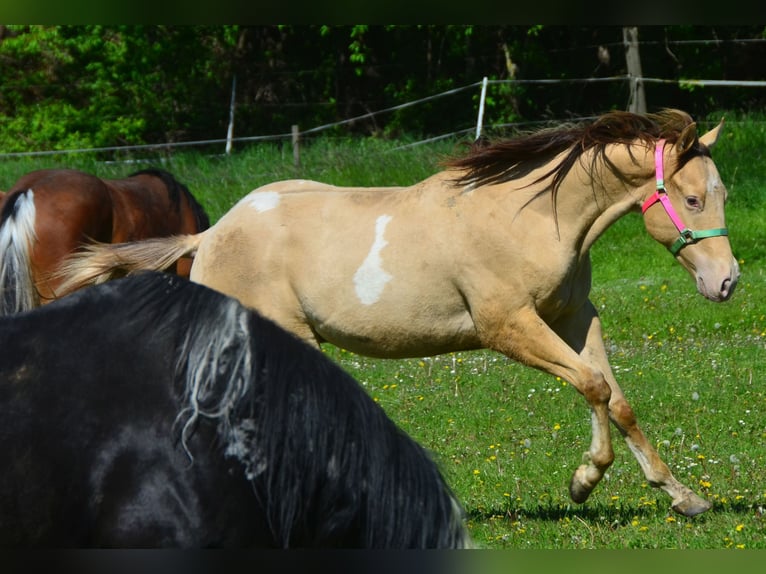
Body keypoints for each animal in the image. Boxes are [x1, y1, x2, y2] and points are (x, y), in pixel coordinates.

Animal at [55, 110, 744, 520]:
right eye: (691, 198)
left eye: (721, 193)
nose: (728, 281)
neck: (530, 218)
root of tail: (210, 236)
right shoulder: (508, 327)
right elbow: (594, 385)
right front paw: (584, 480)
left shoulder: (575, 317)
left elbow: (614, 397)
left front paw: (682, 497)